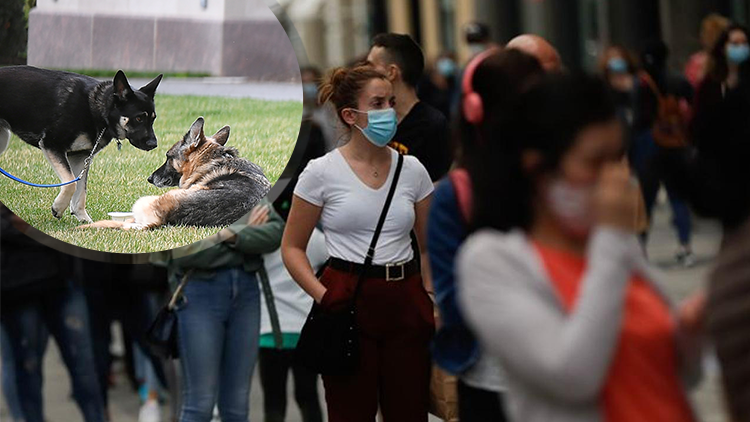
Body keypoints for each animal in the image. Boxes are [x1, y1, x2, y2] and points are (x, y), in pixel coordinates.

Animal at [0, 66, 163, 223]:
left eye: (153, 118)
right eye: (139, 118)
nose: (153, 144)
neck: (97, 110)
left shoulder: (81, 158)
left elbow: (80, 191)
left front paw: (84, 218)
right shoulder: (52, 144)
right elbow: (71, 184)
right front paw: (59, 207)